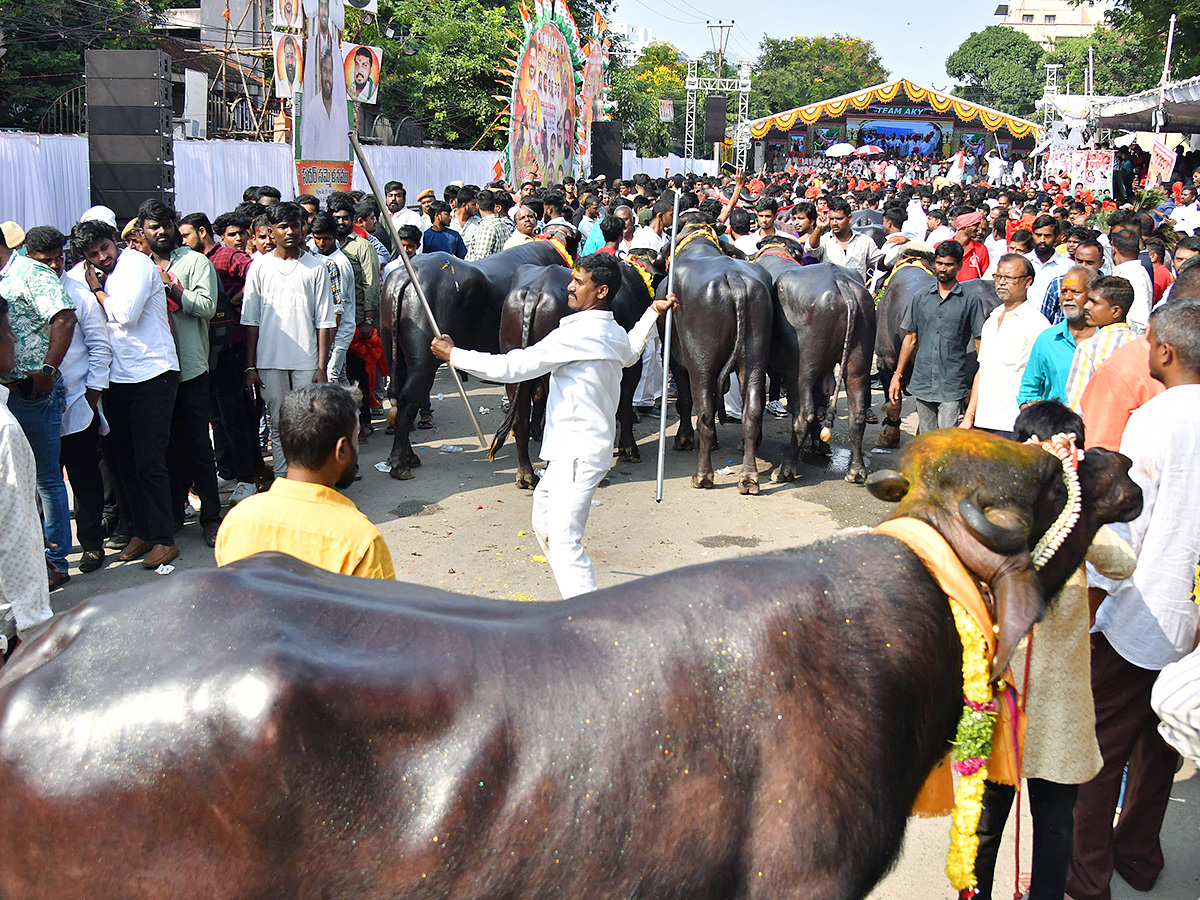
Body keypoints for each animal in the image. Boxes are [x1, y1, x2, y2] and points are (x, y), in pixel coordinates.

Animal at [381, 236, 573, 482]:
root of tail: (405, 276)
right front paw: (537, 431)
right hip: (423, 363)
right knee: (408, 400)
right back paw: (400, 463)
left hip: (395, 353)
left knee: (402, 398)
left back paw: (407, 457)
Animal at [748, 243, 873, 487]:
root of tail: (840, 282)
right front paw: (820, 444)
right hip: (858, 362)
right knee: (856, 414)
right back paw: (856, 471)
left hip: (803, 370)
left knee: (804, 414)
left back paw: (785, 470)